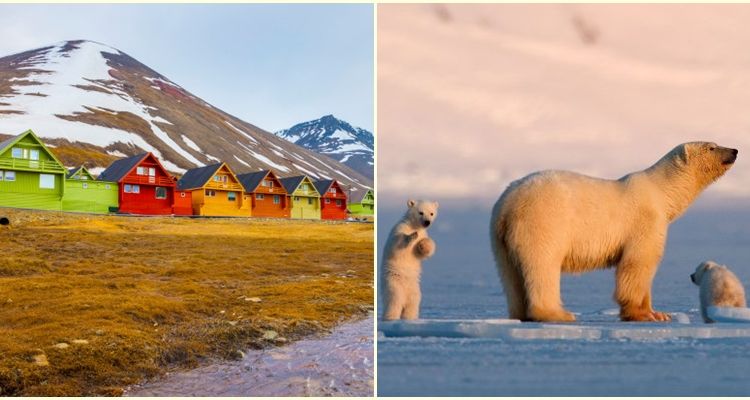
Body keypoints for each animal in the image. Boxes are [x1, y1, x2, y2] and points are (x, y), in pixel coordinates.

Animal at [494, 142, 740, 324]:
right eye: (711, 146)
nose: (735, 150)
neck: (661, 192)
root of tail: (508, 204)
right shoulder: (645, 221)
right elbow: (638, 264)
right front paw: (644, 315)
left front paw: (660, 313)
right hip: (543, 222)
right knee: (542, 265)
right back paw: (557, 314)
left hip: (500, 237)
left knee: (510, 275)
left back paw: (520, 314)